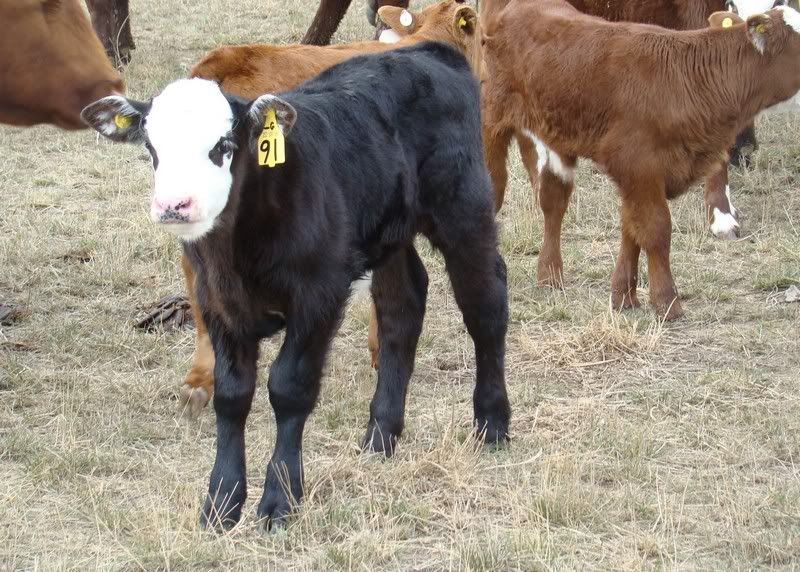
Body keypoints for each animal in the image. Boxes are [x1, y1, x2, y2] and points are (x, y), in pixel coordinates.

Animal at [480, 0, 800, 320]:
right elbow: (655, 228)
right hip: (492, 121)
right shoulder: (638, 165)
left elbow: (631, 227)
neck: (690, 77)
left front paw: (624, 296)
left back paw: (550, 275)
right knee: (494, 188)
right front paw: (667, 302)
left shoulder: (638, 176)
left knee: (553, 199)